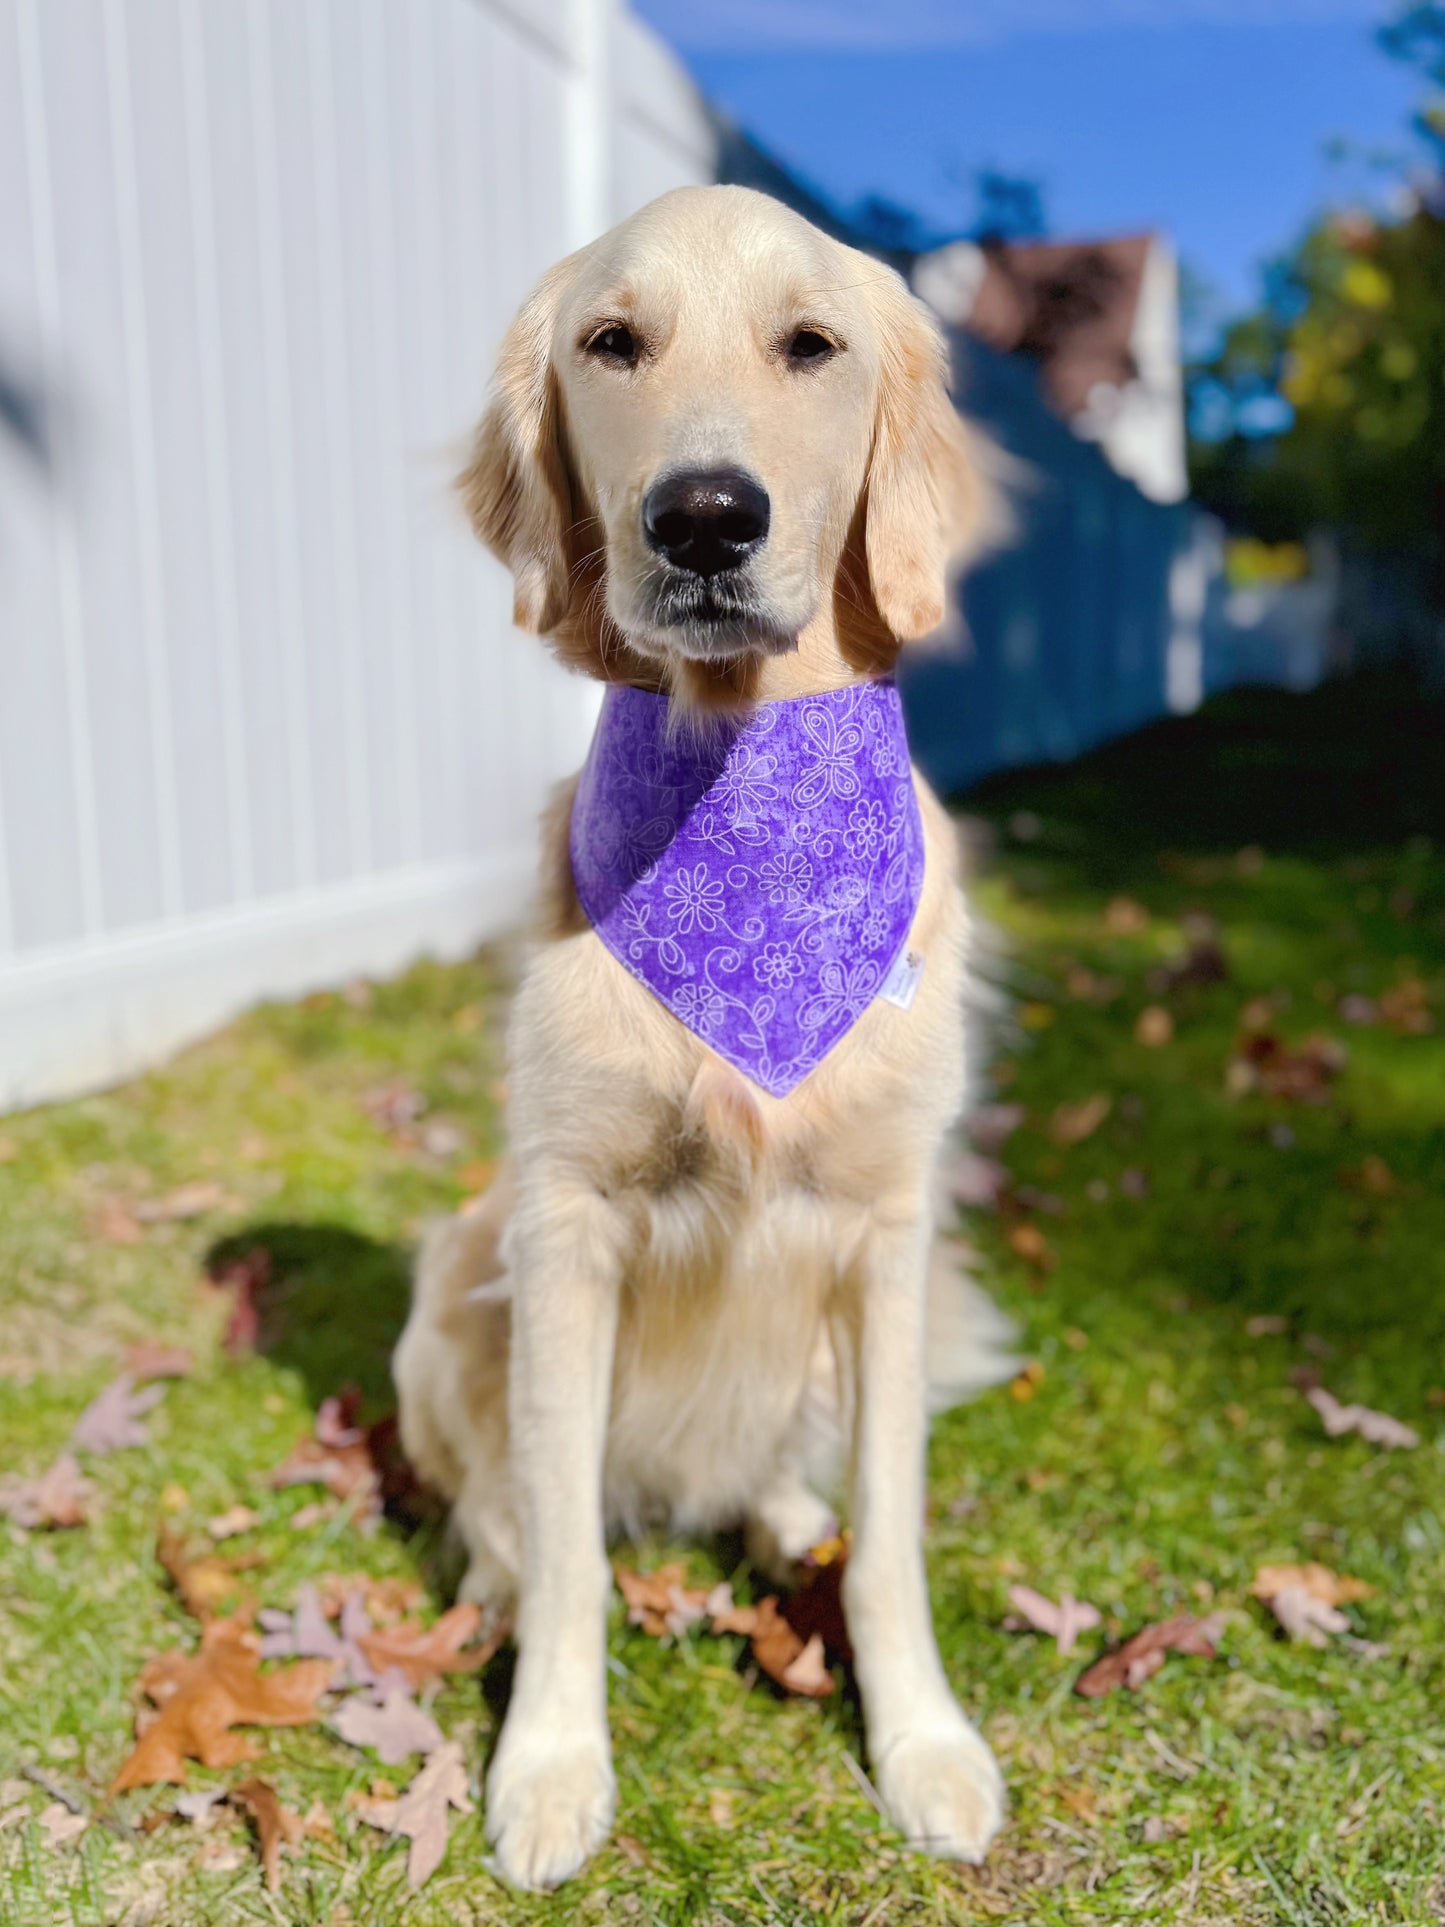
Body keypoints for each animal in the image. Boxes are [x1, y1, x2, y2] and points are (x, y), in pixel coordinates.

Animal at [391, 184, 1009, 1896]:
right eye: (614, 341)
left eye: (813, 343)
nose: (707, 516)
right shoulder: (563, 1222)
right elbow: (564, 1557)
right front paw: (547, 1761)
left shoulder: (886, 1224)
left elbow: (891, 1537)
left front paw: (921, 1743)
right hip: (448, 1288)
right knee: (507, 1513)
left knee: (785, 1474)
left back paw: (782, 1513)